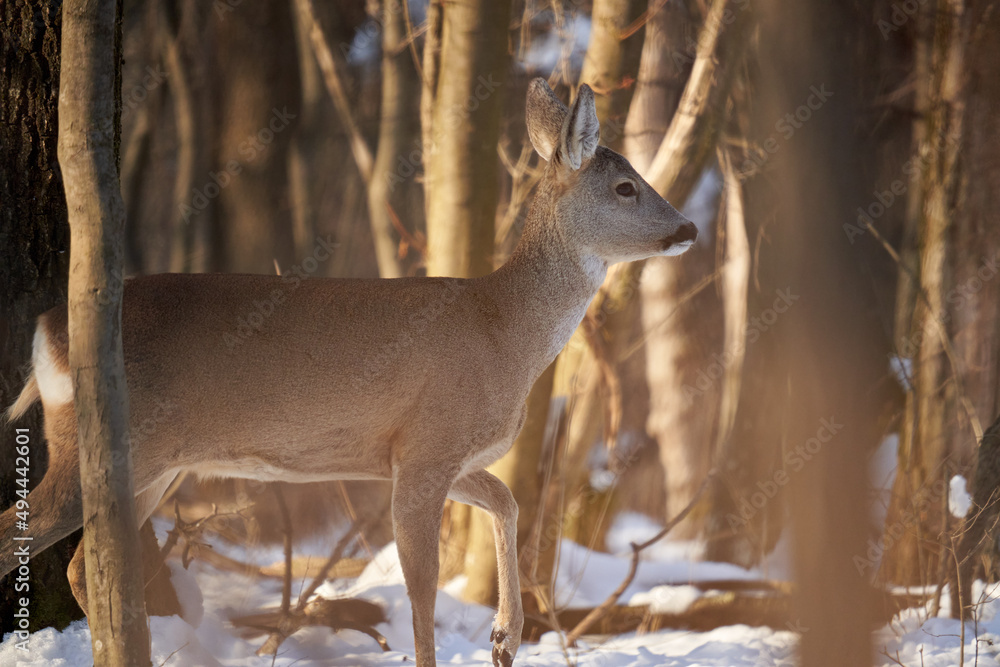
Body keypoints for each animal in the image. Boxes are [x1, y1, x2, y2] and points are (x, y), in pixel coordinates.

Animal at [1, 79, 696, 667]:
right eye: (626, 186)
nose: (689, 226)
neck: (504, 329)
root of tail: (47, 335)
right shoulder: (428, 446)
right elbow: (422, 584)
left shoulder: (421, 452)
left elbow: (506, 499)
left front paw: (504, 637)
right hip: (104, 448)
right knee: (28, 537)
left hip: (155, 465)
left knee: (81, 564)